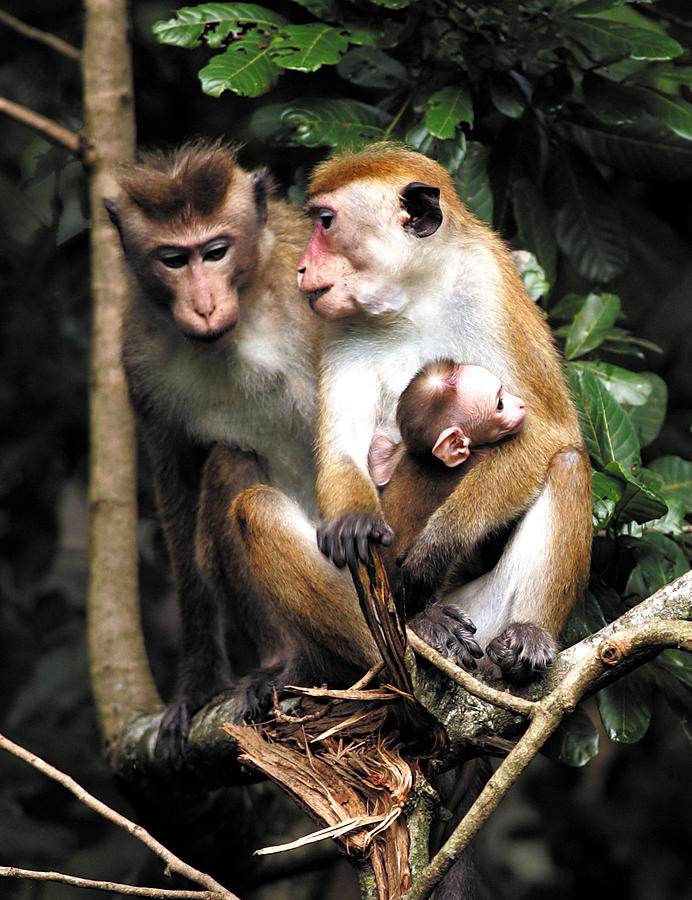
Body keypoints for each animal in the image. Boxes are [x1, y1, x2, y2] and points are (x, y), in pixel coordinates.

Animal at [231, 139, 588, 688]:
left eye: (326, 222)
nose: (302, 268)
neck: (412, 299)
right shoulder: (340, 325)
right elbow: (342, 451)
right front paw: (355, 522)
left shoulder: (489, 283)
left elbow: (551, 430)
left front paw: (440, 543)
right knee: (259, 508)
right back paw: (409, 644)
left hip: (483, 619)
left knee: (567, 464)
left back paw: (528, 635)